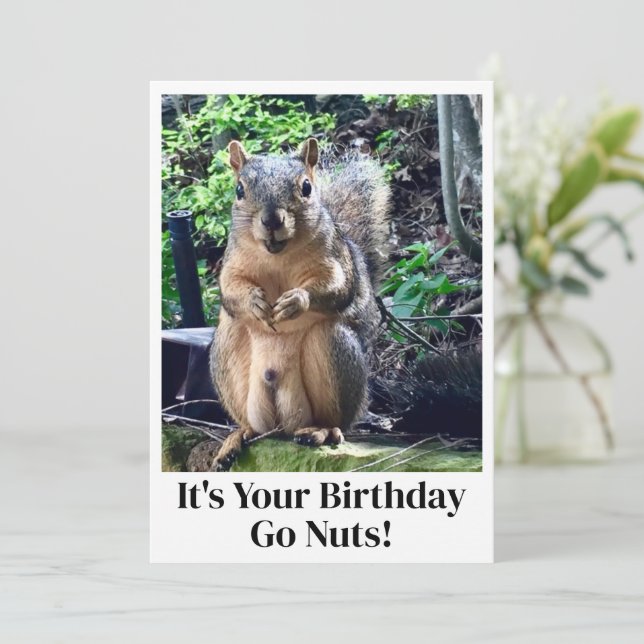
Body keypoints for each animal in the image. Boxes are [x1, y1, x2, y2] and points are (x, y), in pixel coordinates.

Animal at [209, 137, 391, 471]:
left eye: (306, 187)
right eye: (239, 190)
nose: (271, 220)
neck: (277, 256)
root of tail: (284, 424)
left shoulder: (335, 259)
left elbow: (338, 287)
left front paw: (296, 301)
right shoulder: (232, 263)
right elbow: (230, 290)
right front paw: (254, 301)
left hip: (333, 350)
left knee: (334, 421)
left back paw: (321, 431)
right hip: (228, 352)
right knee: (254, 427)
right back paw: (237, 437)